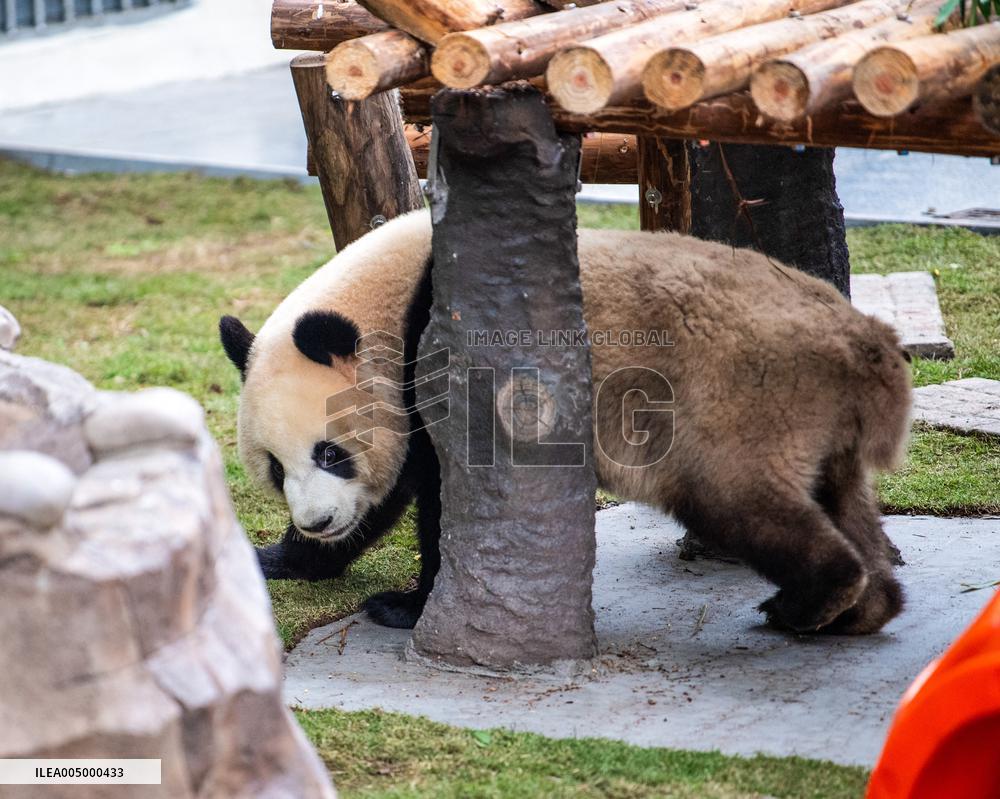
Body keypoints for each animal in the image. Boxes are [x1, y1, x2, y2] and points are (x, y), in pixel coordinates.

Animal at [220, 208, 912, 635]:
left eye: (330, 453)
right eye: (275, 468)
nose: (317, 521)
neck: (392, 293)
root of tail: (867, 352)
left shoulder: (450, 361)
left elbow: (444, 499)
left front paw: (404, 607)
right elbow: (396, 494)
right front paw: (280, 558)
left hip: (743, 399)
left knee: (742, 502)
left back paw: (806, 601)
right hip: (817, 426)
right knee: (842, 500)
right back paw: (862, 610)